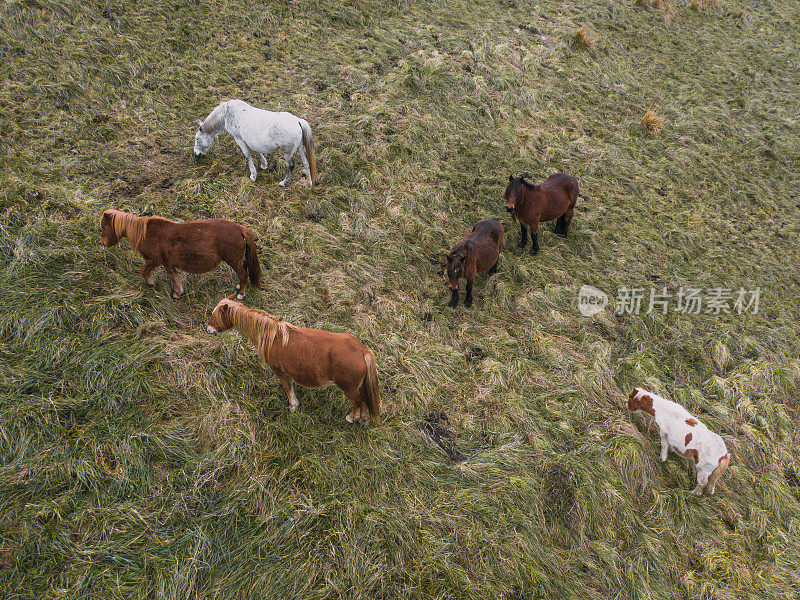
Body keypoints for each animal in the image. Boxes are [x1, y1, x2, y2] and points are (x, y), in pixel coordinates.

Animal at [99, 209, 262, 300]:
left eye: (104, 227)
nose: (103, 242)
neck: (147, 233)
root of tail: (239, 228)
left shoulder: (154, 260)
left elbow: (144, 271)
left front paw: (151, 283)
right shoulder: (168, 263)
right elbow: (174, 277)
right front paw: (178, 292)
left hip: (233, 260)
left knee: (243, 274)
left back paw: (241, 294)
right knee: (244, 271)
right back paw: (239, 287)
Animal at [206, 298, 382, 424]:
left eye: (214, 316)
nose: (208, 329)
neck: (273, 336)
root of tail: (363, 351)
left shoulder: (278, 369)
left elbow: (287, 387)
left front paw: (293, 406)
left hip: (349, 388)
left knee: (358, 401)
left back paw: (351, 418)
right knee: (364, 401)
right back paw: (363, 419)